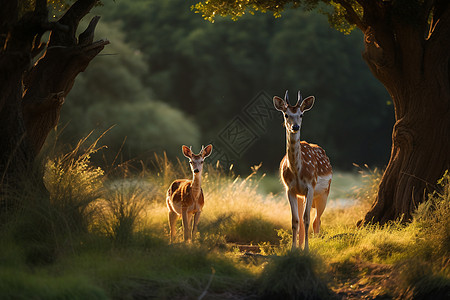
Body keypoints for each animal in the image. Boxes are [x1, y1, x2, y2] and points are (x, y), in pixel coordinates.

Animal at [272, 91, 332, 251]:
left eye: (301, 114)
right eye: (286, 114)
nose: (295, 126)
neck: (298, 171)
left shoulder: (310, 186)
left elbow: (306, 219)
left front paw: (307, 249)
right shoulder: (290, 189)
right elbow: (295, 220)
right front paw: (293, 249)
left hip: (324, 193)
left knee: (317, 220)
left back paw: (315, 243)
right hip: (301, 195)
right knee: (306, 219)